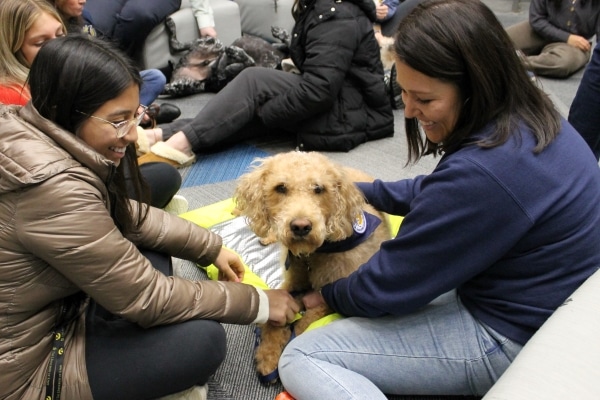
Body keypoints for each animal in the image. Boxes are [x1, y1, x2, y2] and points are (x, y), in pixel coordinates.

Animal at [232, 152, 392, 382]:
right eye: (281, 188)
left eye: (319, 189)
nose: (301, 227)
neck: (313, 254)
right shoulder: (292, 282)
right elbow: (274, 316)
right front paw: (268, 354)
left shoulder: (340, 291)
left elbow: (305, 321)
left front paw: (288, 336)